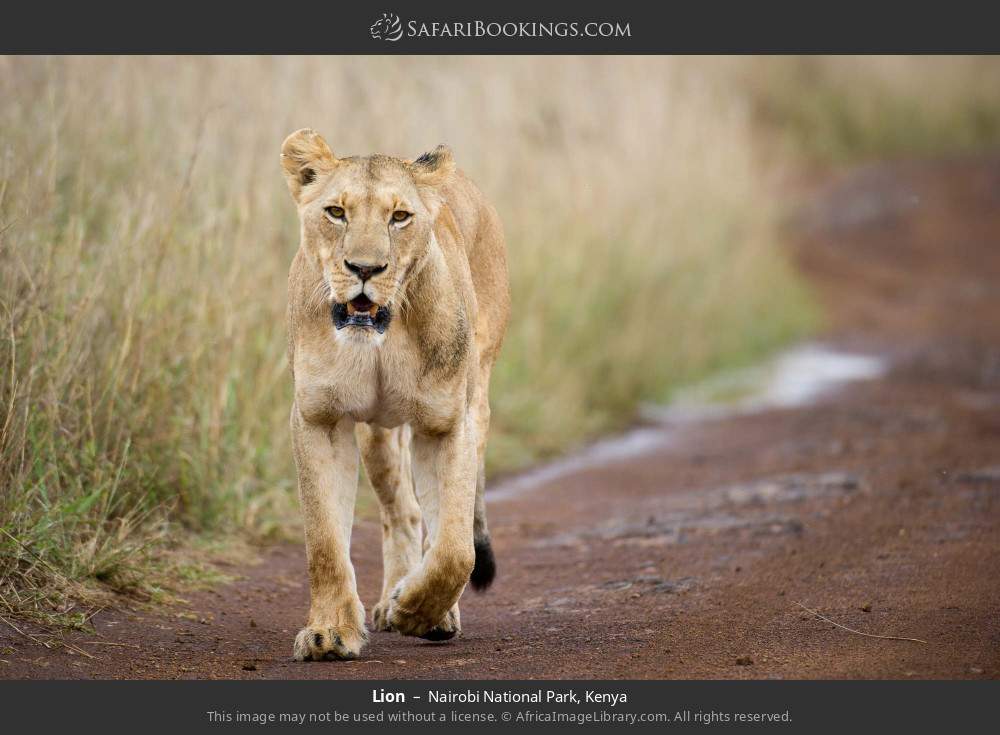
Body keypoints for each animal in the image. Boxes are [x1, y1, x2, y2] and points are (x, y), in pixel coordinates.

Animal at [280, 129, 510, 660]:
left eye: (399, 217)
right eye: (336, 212)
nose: (365, 268)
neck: (381, 342)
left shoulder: (448, 424)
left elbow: (455, 549)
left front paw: (418, 612)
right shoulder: (320, 419)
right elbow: (325, 541)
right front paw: (330, 633)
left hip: (478, 397)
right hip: (378, 434)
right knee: (402, 510)